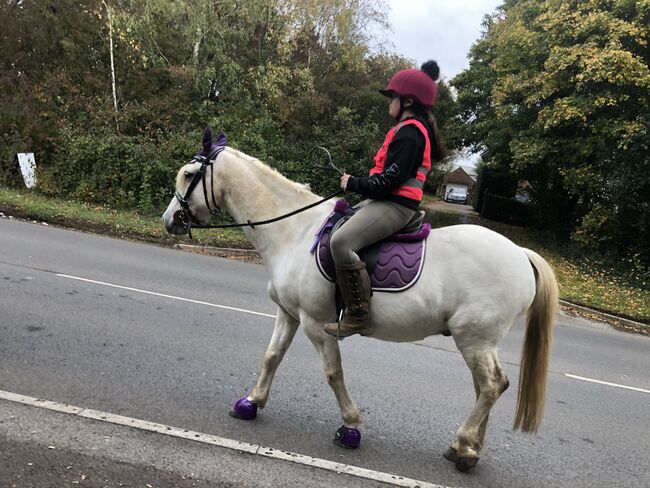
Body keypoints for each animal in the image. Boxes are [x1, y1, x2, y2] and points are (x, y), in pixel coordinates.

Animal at [162, 133, 556, 472]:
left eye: (188, 174)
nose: (169, 220)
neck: (295, 233)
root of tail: (520, 254)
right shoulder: (288, 313)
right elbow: (272, 356)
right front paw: (250, 403)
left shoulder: (315, 323)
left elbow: (333, 373)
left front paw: (350, 427)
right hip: (479, 341)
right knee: (484, 387)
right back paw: (470, 449)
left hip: (473, 338)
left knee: (493, 385)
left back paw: (464, 445)